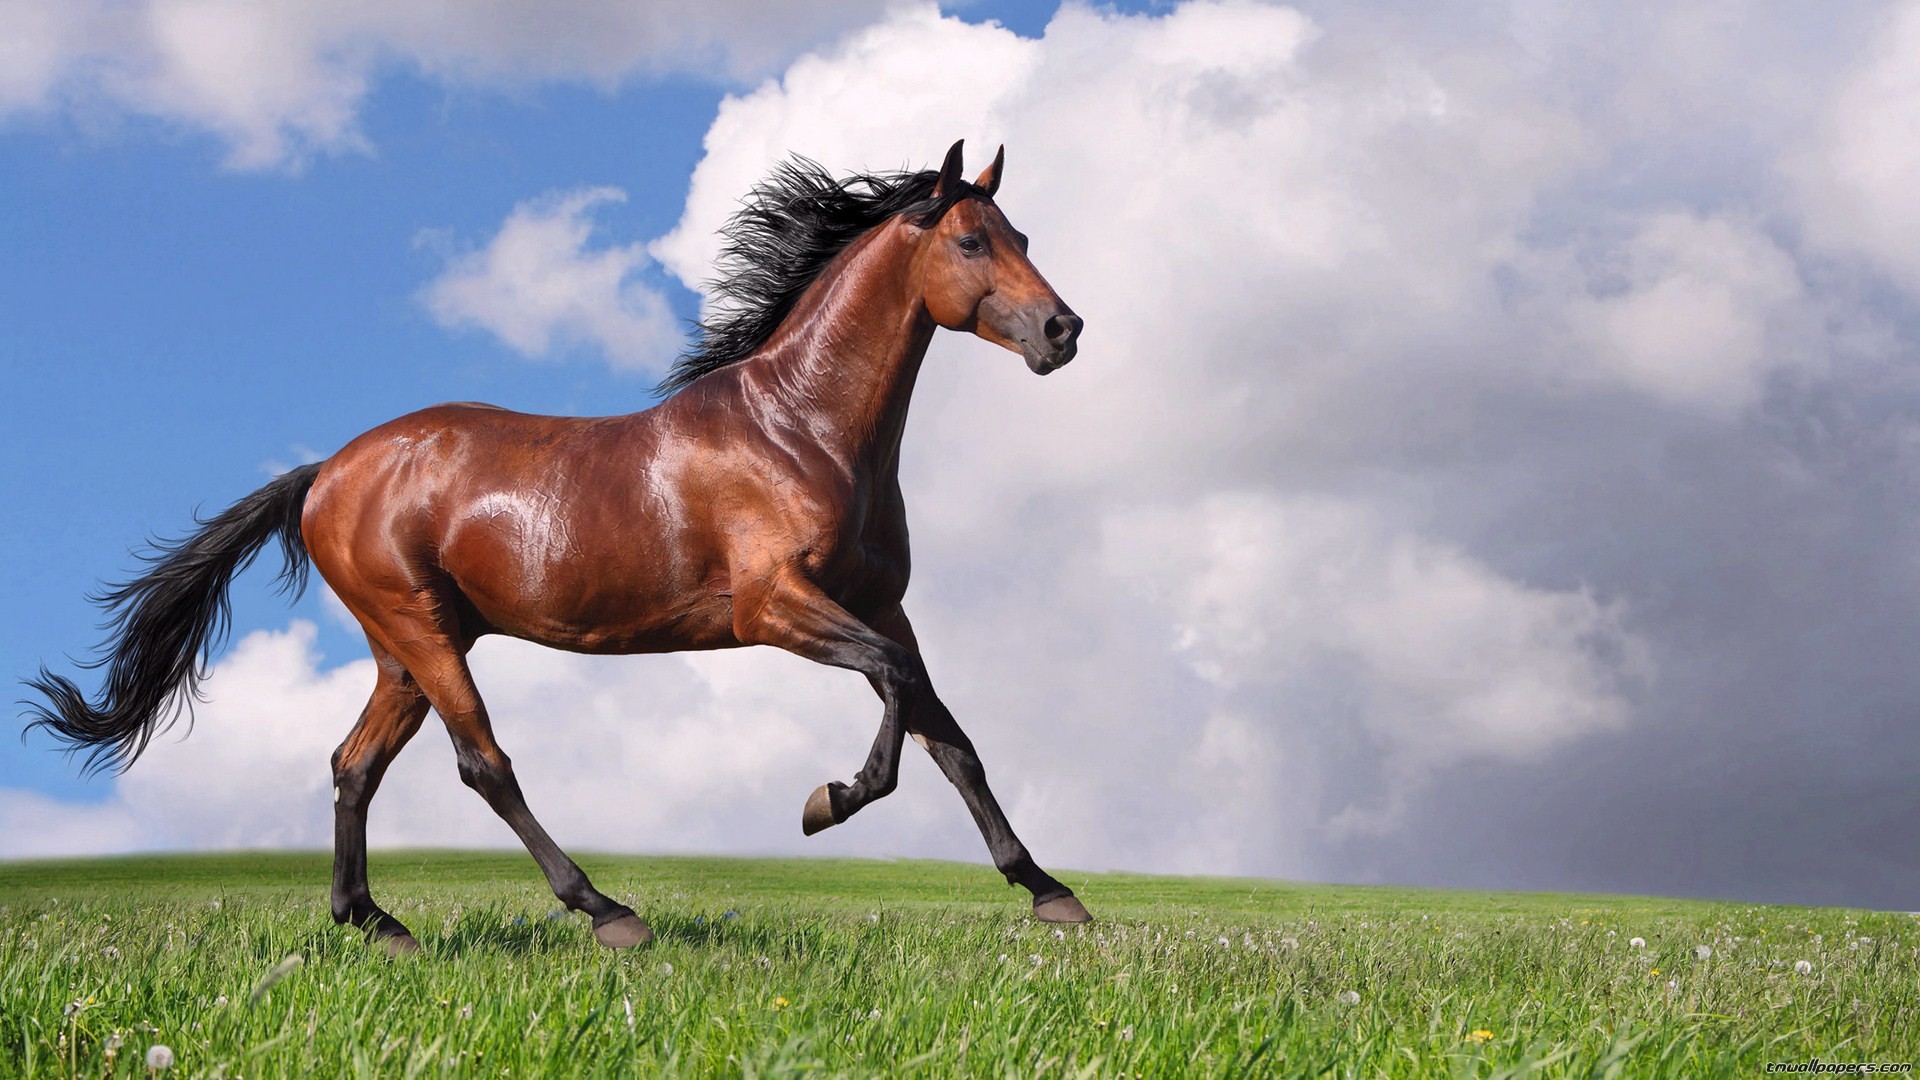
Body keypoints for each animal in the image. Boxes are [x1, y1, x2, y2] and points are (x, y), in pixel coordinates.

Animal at [23, 140, 1090, 953]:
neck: (802, 428)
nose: (1063, 328)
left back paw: (376, 924)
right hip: (422, 632)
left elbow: (949, 736)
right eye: (970, 239)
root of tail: (327, 471)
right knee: (482, 762)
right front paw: (826, 801)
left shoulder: (881, 604)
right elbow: (899, 700)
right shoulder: (775, 607)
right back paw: (607, 911)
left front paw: (1049, 890)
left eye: (1023, 237)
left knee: (353, 764)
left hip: (405, 648)